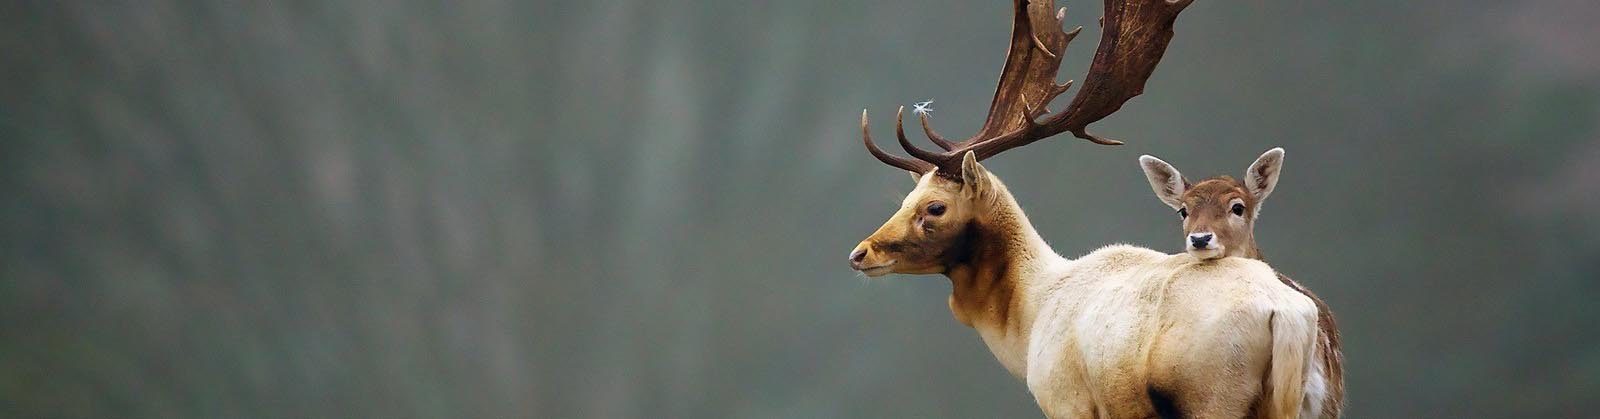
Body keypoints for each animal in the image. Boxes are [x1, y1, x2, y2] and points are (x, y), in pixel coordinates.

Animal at [844, 0, 1318, 419]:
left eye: (936, 207)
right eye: (905, 201)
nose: (859, 253)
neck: (1028, 323)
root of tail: (1288, 315)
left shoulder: (1065, 399)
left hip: (1212, 394)